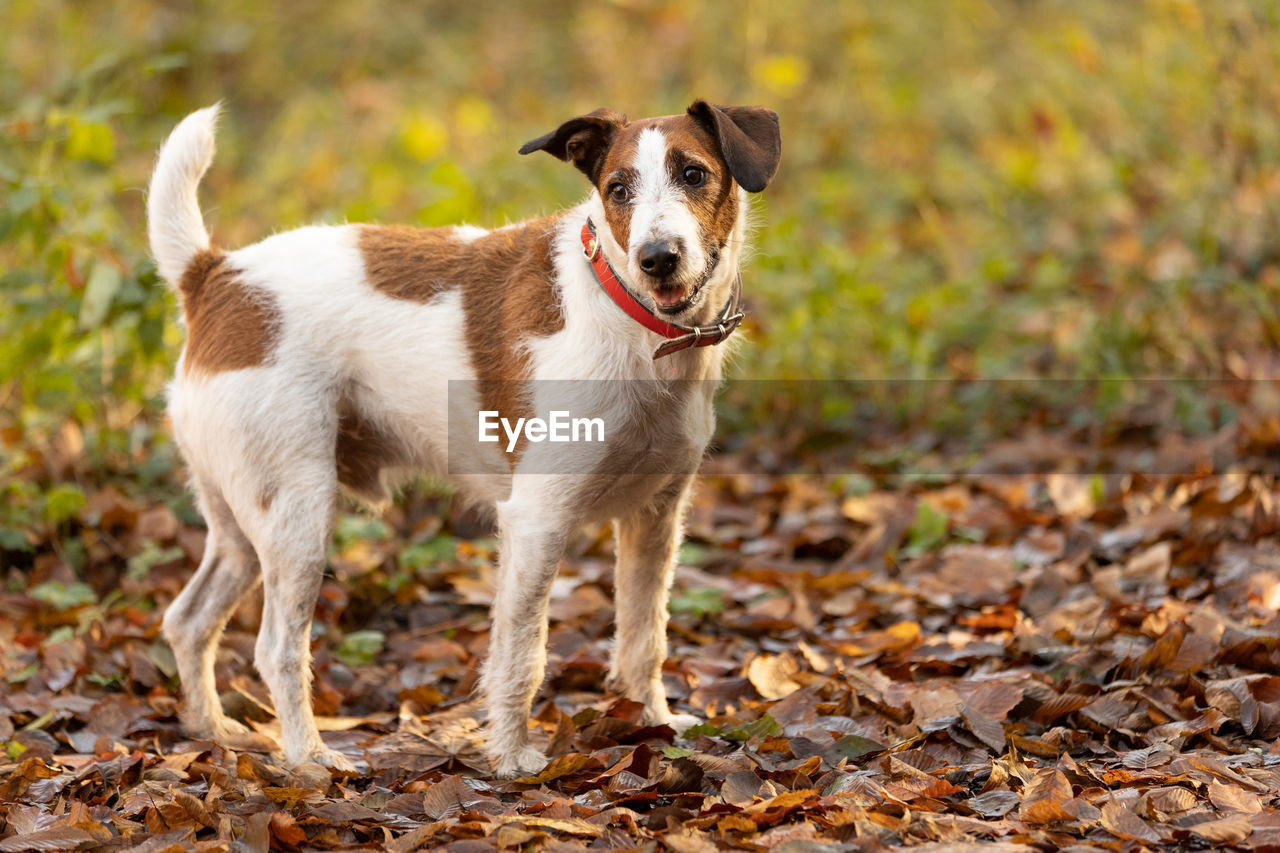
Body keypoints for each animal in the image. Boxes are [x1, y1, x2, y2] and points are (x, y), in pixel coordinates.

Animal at [152, 101, 778, 778]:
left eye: (693, 174)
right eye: (617, 190)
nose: (657, 257)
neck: (626, 312)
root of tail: (215, 274)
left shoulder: (655, 520)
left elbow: (644, 637)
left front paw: (654, 723)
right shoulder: (537, 520)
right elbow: (522, 651)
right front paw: (512, 757)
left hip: (243, 525)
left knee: (188, 619)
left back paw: (212, 729)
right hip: (299, 515)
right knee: (276, 648)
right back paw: (311, 757)